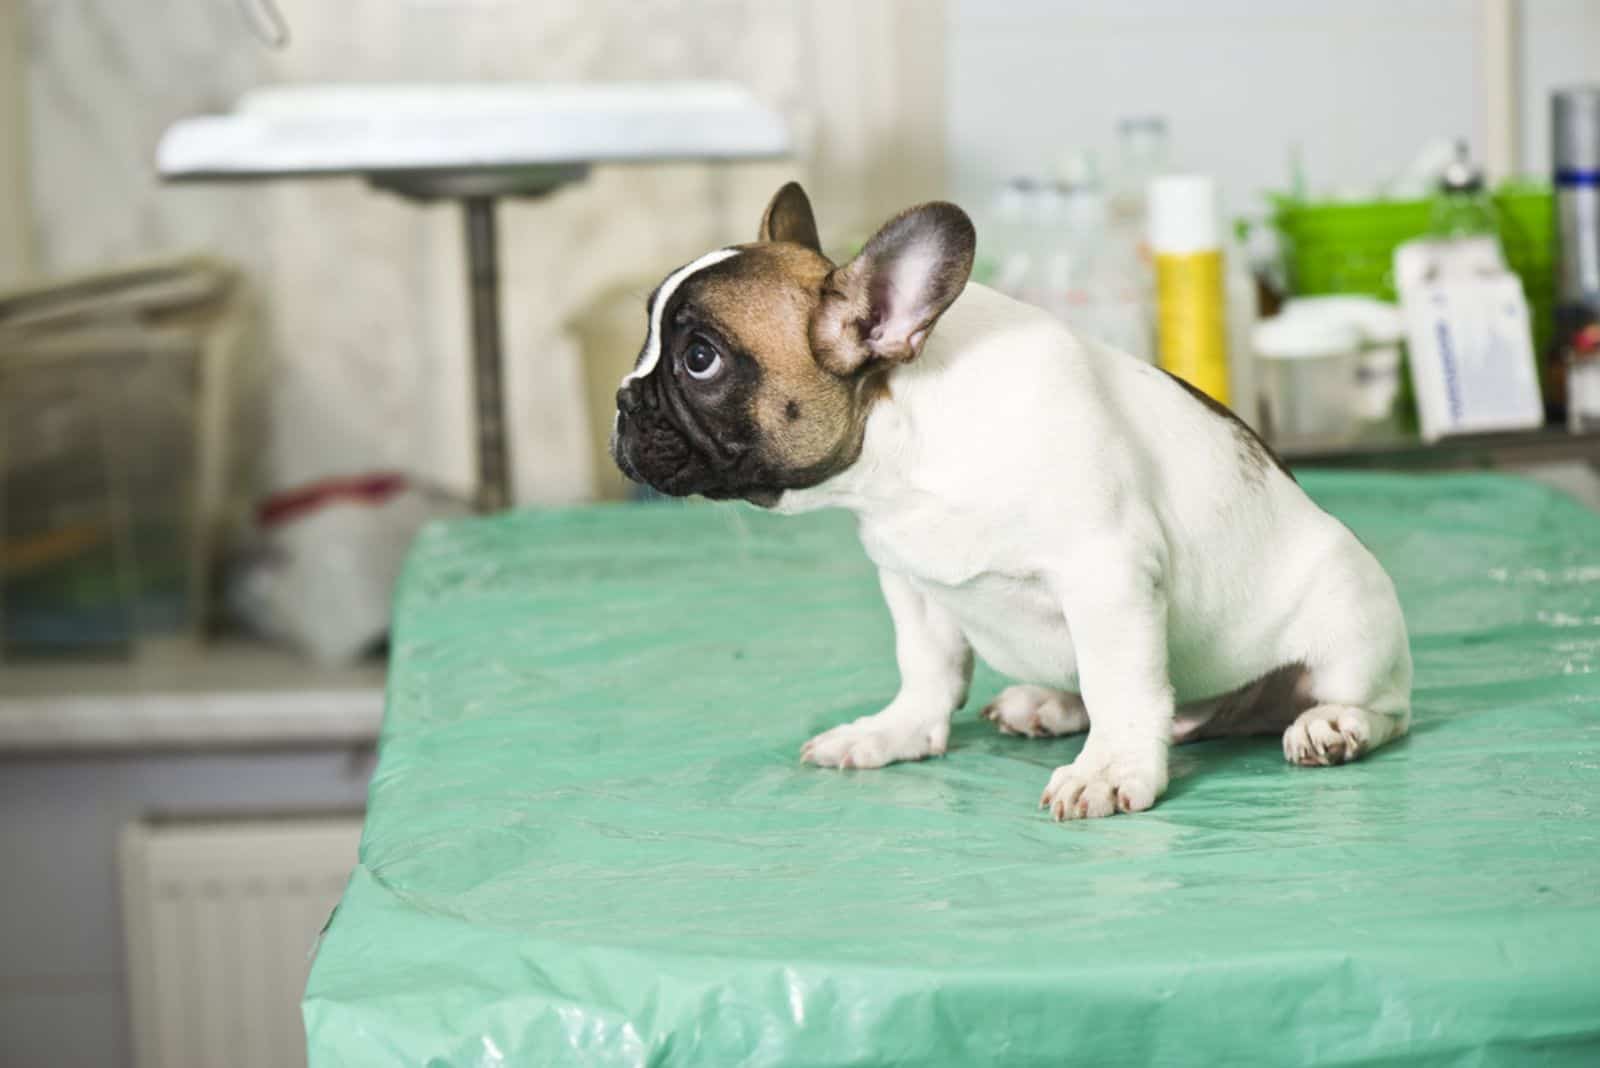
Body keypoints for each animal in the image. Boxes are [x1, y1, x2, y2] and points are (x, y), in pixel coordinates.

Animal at [611, 181, 1414, 818]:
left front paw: (1111, 768)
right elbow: (927, 669)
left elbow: (1120, 681)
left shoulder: (1106, 575)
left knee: (1386, 709)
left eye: (700, 359)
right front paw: (895, 731)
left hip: (1348, 619)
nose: (621, 401)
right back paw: (1049, 704)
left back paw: (1332, 726)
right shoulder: (911, 583)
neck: (908, 446)